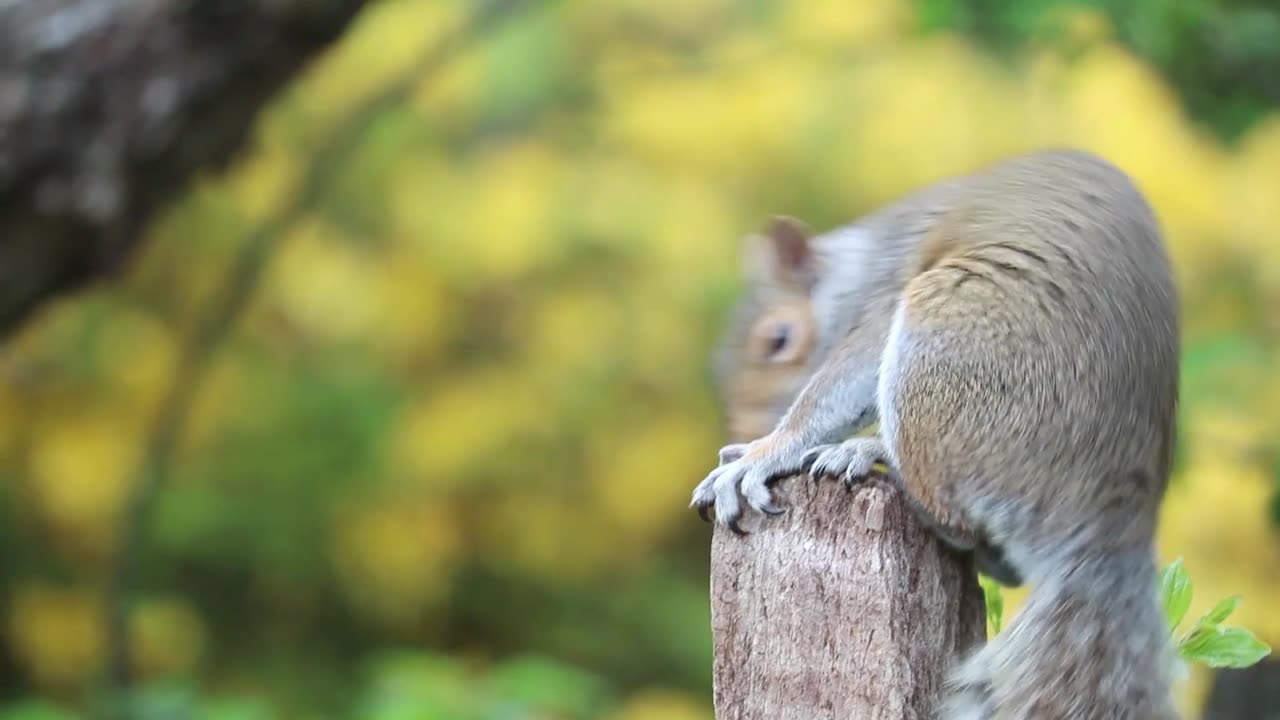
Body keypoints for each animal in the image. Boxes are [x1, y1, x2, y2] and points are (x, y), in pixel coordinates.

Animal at [696, 147, 1182, 717]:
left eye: (778, 339)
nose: (748, 427)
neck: (861, 266)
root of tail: (1114, 526)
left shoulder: (884, 299)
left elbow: (834, 387)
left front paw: (761, 454)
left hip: (946, 333)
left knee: (954, 518)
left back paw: (869, 456)